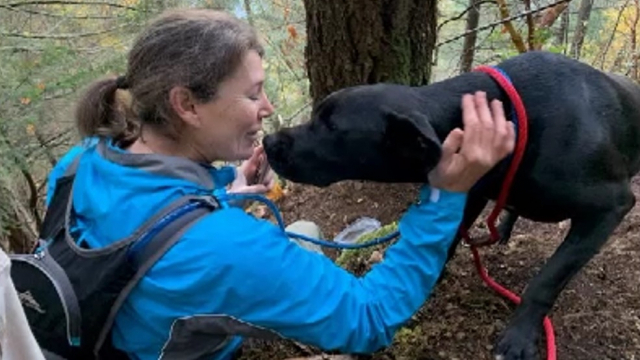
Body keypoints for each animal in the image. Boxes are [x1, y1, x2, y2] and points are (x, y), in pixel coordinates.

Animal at [262, 51, 640, 360]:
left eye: (331, 127)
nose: (267, 141)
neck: (513, 120)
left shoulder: (610, 207)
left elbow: (547, 279)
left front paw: (519, 336)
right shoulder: (472, 188)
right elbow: (451, 236)